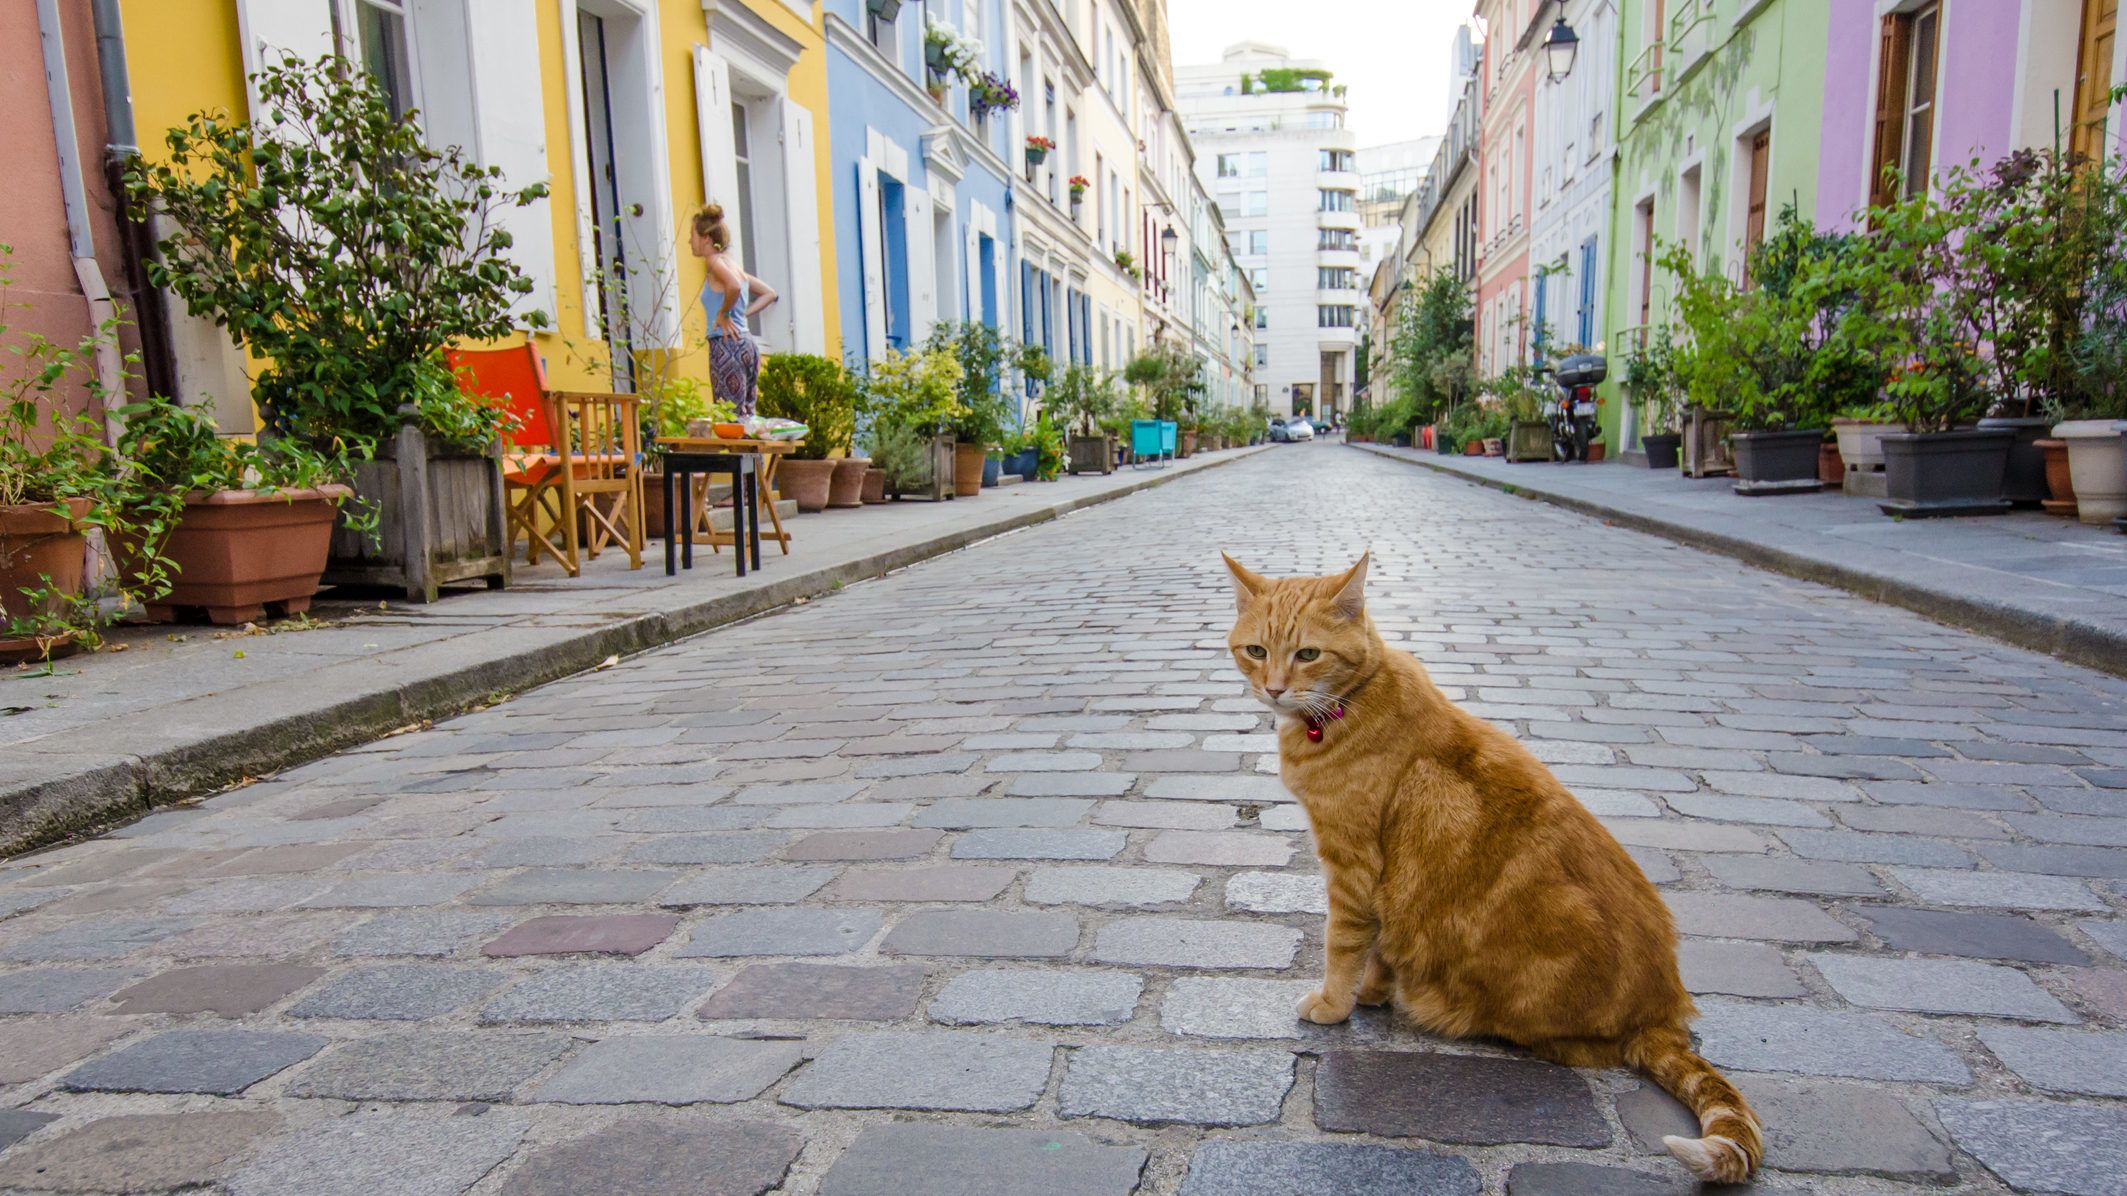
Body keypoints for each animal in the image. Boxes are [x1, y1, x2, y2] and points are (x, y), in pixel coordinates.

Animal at [1233, 553, 1761, 1183]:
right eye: (1257, 650)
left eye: (1308, 654)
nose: (1274, 689)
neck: (1351, 701)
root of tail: (1663, 1011)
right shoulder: (1384, 883)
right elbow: (1380, 947)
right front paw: (1372, 994)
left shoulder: (1353, 864)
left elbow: (1344, 944)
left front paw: (1335, 1005)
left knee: (1587, 1048)